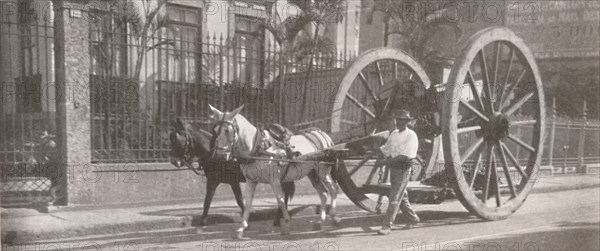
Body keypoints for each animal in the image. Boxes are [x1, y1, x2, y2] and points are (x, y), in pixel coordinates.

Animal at [209, 104, 340, 239]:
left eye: (227, 130)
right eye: (216, 130)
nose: (219, 156)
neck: (257, 147)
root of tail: (322, 134)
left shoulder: (274, 180)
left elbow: (280, 201)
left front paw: (286, 225)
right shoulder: (251, 181)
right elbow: (248, 204)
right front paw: (241, 229)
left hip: (323, 171)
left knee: (333, 190)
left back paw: (334, 217)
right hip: (312, 173)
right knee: (323, 193)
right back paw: (320, 221)